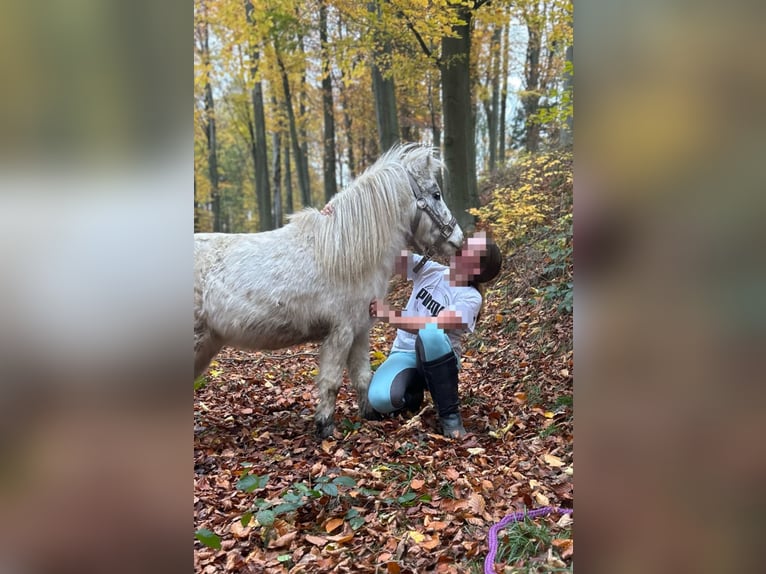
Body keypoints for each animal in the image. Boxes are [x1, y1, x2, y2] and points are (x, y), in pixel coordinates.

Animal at [194, 144, 464, 438]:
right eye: (436, 194)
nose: (458, 240)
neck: (344, 252)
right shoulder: (341, 332)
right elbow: (332, 382)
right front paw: (325, 427)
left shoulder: (360, 331)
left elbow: (363, 377)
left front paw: (369, 415)